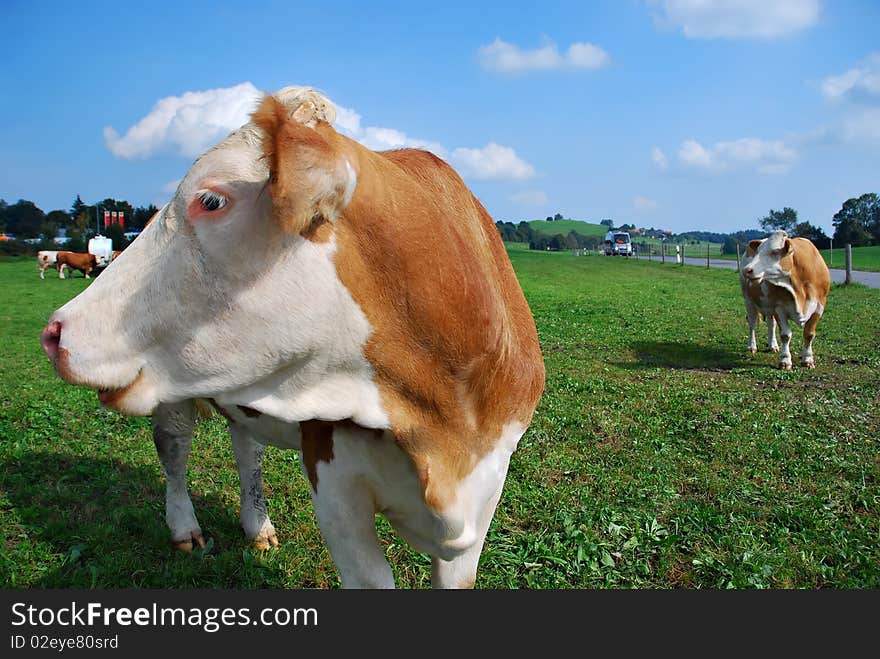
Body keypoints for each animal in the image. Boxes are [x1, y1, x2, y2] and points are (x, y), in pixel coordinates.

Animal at [740, 229, 828, 368]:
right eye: (757, 252)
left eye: (774, 252)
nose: (747, 270)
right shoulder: (779, 307)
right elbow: (786, 335)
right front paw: (785, 361)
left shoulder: (820, 306)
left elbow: (809, 334)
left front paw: (808, 359)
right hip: (749, 300)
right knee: (752, 324)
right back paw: (751, 346)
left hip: (767, 305)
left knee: (771, 324)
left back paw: (773, 345)